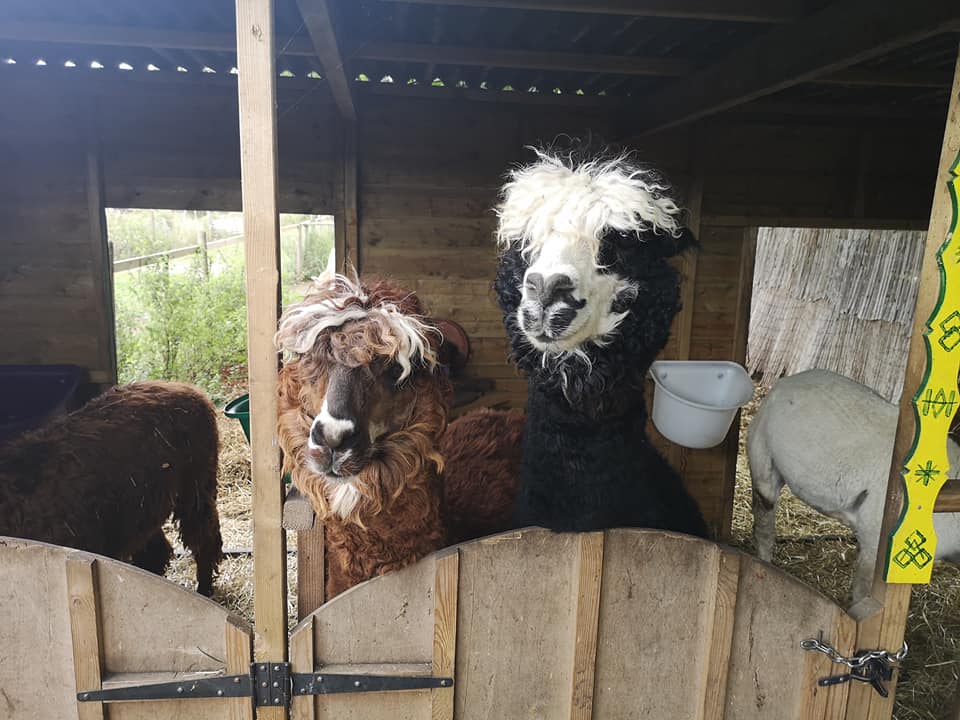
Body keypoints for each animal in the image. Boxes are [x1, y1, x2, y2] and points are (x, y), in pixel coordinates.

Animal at [752, 368, 960, 604]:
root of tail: (786, 381)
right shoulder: (876, 540)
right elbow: (864, 590)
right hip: (762, 455)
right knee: (764, 523)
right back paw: (764, 564)